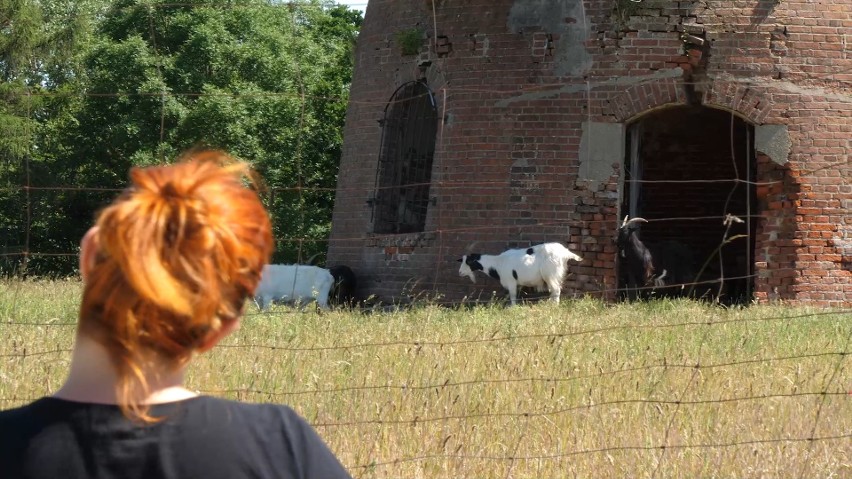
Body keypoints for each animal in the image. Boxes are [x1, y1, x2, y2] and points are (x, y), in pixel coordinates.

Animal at [456, 242, 584, 306]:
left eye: (468, 262)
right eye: (462, 260)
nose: (460, 272)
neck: (499, 263)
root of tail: (565, 252)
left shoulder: (511, 281)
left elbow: (512, 296)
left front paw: (512, 308)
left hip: (550, 274)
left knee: (556, 290)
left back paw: (554, 307)